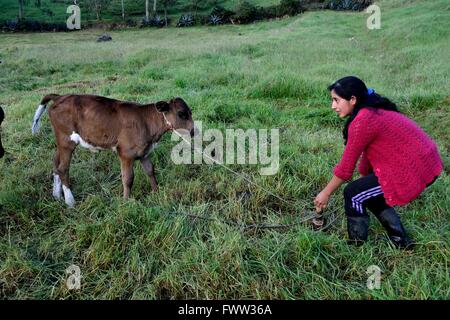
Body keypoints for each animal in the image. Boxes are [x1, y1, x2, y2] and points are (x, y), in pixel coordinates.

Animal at [31, 94, 193, 206]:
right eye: (181, 114)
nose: (193, 131)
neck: (147, 123)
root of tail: (60, 96)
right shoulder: (125, 153)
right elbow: (128, 178)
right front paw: (126, 201)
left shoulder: (144, 152)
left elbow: (150, 171)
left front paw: (156, 192)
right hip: (67, 141)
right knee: (63, 168)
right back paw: (70, 201)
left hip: (61, 142)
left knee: (55, 164)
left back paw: (57, 195)